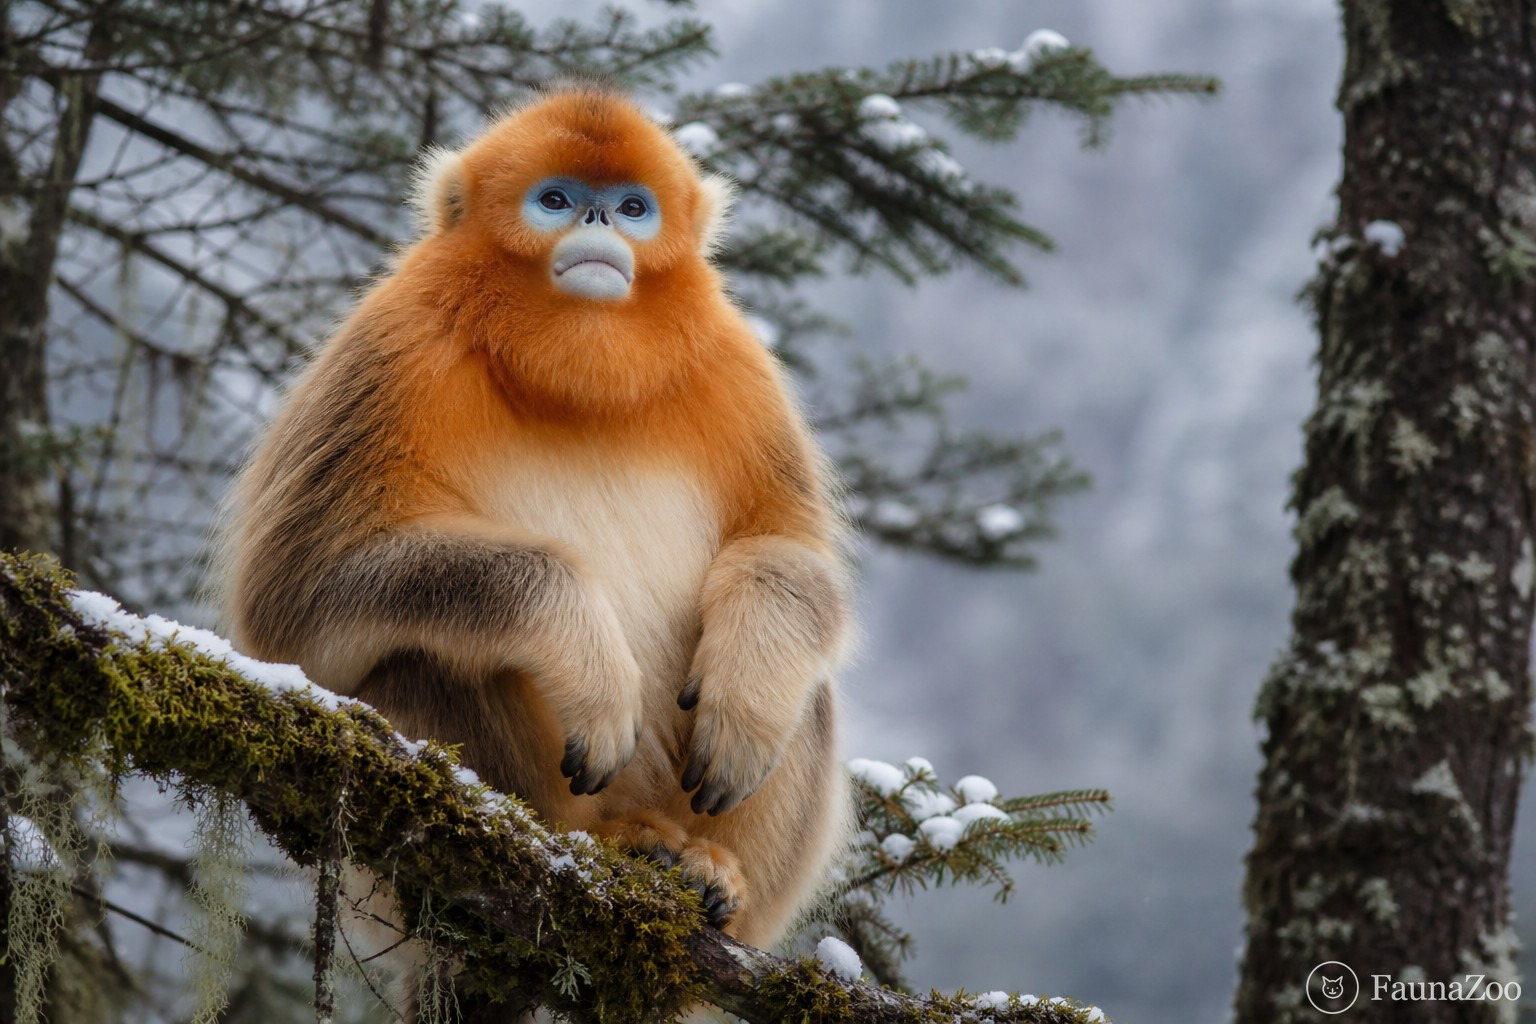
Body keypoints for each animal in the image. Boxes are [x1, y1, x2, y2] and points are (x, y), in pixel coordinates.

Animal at [217, 86, 854, 992]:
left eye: (634, 207)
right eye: (554, 200)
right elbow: (292, 599)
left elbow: (790, 555)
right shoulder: (396, 344)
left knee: (807, 680)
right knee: (424, 654)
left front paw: (745, 697)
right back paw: (585, 852)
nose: (597, 218)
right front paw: (589, 664)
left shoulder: (737, 366)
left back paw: (701, 868)